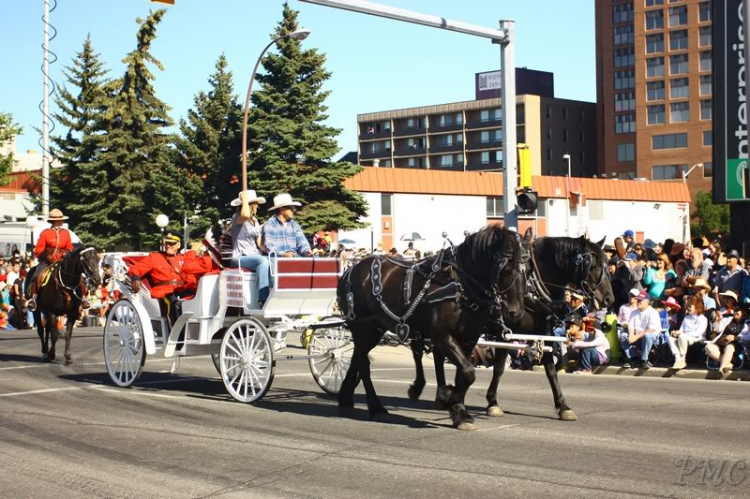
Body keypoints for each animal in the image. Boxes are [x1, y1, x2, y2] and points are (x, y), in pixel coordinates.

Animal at [338, 227, 524, 430]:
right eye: (505, 267)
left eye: (523, 268)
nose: (514, 312)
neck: (460, 286)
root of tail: (350, 271)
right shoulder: (443, 336)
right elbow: (468, 373)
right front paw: (448, 398)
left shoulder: (468, 339)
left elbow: (462, 374)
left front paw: (458, 411)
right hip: (364, 328)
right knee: (364, 365)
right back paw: (376, 407)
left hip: (373, 330)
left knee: (357, 357)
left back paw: (345, 398)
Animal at [412, 234, 616, 422]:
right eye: (592, 266)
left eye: (607, 264)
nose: (609, 299)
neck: (533, 287)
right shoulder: (504, 333)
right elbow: (499, 368)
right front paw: (492, 403)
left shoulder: (544, 333)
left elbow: (550, 369)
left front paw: (563, 406)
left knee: (438, 354)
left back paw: (440, 395)